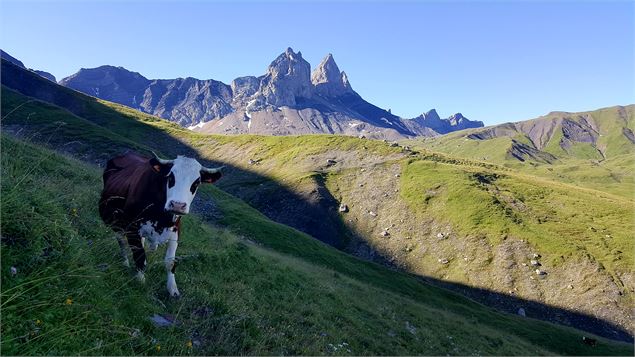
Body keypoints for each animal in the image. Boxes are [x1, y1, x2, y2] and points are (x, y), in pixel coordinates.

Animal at [100, 150, 225, 294]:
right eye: (170, 177)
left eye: (197, 182)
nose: (177, 205)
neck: (161, 218)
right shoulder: (132, 227)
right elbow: (139, 256)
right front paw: (140, 280)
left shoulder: (175, 230)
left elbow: (170, 262)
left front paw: (173, 289)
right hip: (114, 221)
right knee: (121, 240)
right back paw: (125, 262)